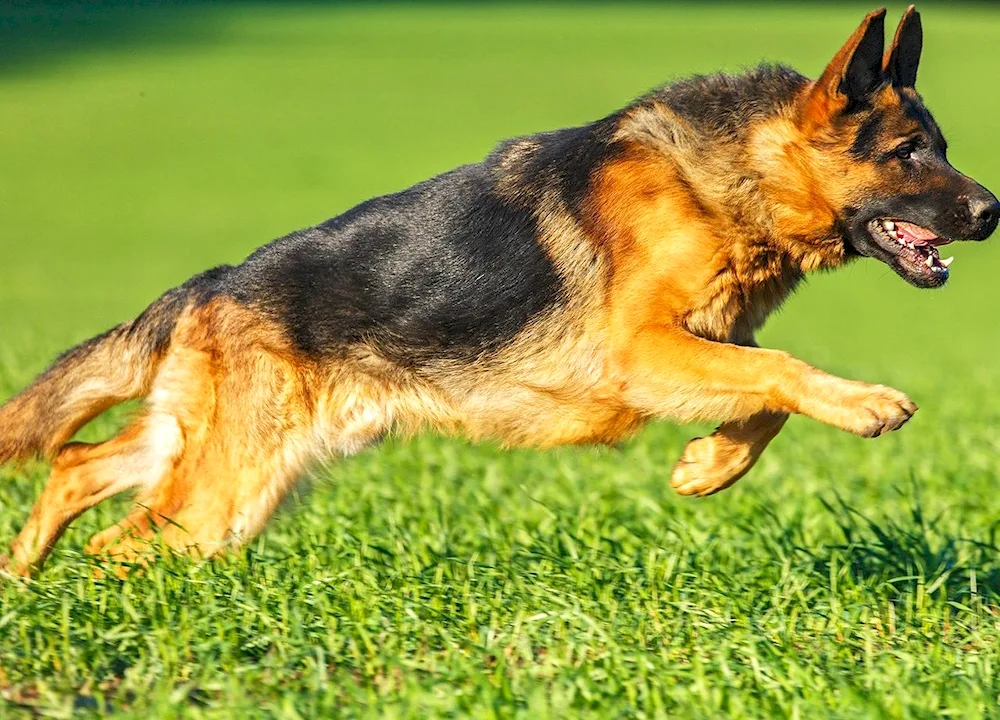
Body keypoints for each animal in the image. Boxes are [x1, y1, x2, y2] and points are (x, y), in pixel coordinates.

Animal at [1, 5, 1000, 572]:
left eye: (943, 147)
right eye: (909, 154)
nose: (993, 212)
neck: (731, 175)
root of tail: (212, 284)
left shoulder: (707, 345)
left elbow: (765, 401)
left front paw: (706, 468)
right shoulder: (644, 351)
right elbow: (786, 372)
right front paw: (867, 404)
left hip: (221, 454)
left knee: (77, 464)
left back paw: (24, 581)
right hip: (226, 494)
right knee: (119, 540)